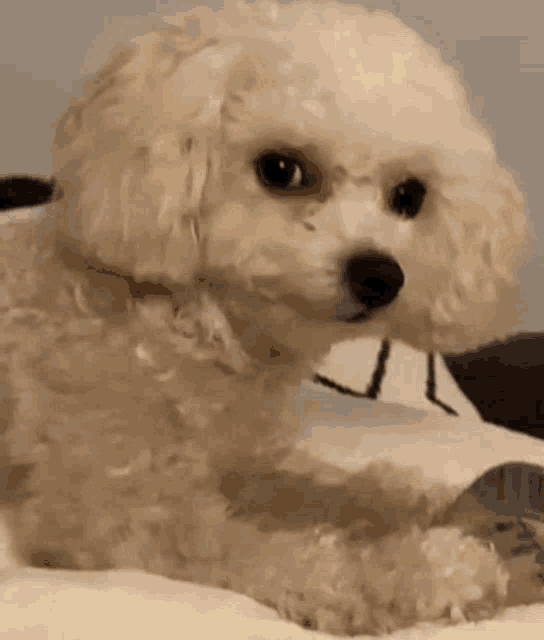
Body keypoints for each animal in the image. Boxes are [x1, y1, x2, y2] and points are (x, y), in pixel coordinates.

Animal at [1, 0, 536, 636]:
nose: (382, 276)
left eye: (410, 196)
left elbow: (345, 489)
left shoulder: (250, 467)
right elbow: (291, 555)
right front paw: (438, 569)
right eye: (281, 169)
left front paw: (426, 502)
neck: (192, 333)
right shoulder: (122, 517)